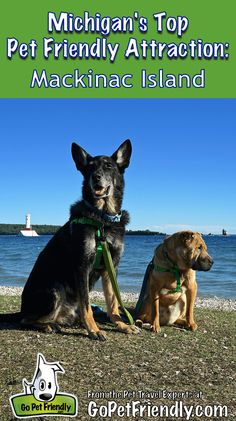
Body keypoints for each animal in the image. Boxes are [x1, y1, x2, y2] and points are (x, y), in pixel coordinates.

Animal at [0, 139, 140, 340]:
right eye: (89, 168)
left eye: (108, 166)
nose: (96, 177)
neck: (102, 219)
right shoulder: (82, 266)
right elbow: (86, 304)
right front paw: (94, 329)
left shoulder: (111, 267)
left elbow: (113, 303)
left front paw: (122, 325)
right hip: (55, 290)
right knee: (25, 320)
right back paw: (48, 326)